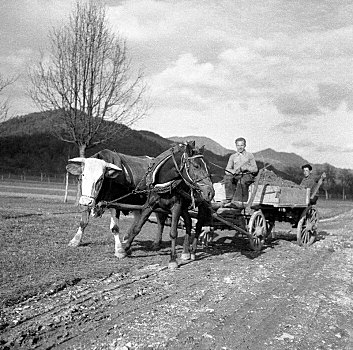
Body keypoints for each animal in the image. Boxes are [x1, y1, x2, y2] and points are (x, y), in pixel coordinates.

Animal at [121, 141, 214, 270]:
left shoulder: (176, 207)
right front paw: (125, 249)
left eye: (208, 168)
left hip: (201, 205)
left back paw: (193, 252)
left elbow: (173, 233)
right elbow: (137, 227)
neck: (164, 183)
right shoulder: (149, 205)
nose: (210, 192)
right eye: (196, 166)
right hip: (184, 207)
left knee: (199, 225)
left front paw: (172, 260)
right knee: (189, 222)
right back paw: (185, 252)